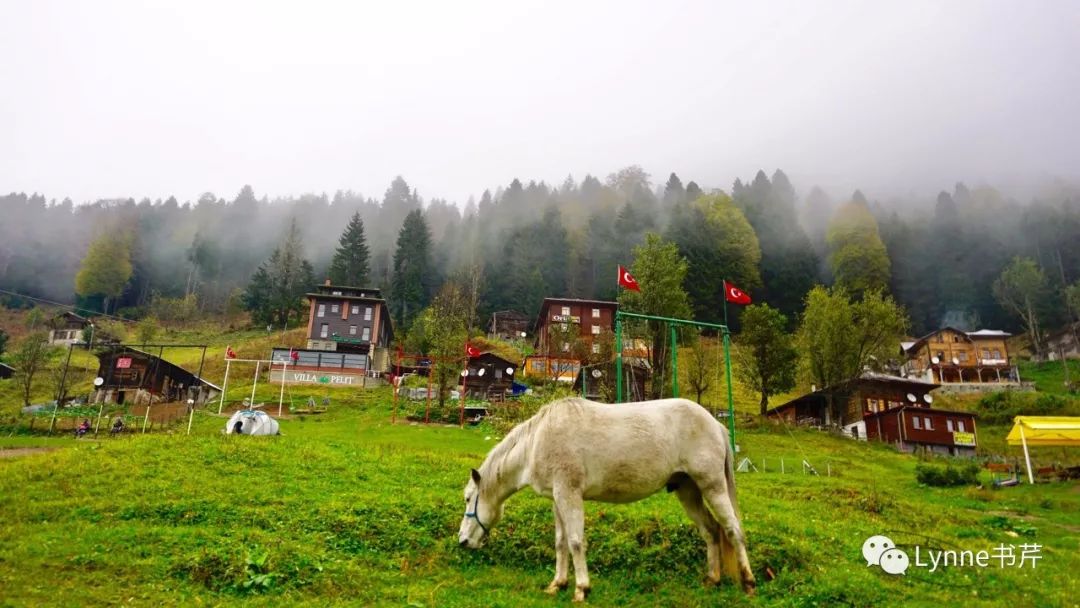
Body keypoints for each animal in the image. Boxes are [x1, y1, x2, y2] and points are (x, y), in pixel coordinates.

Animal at [460, 397, 756, 600]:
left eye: (467, 498)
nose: (462, 541)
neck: (537, 441)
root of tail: (715, 423)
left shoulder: (569, 494)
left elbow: (576, 541)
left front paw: (581, 589)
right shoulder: (557, 499)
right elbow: (561, 543)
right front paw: (558, 584)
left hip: (713, 486)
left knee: (733, 530)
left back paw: (749, 582)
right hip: (688, 490)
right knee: (711, 531)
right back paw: (712, 579)